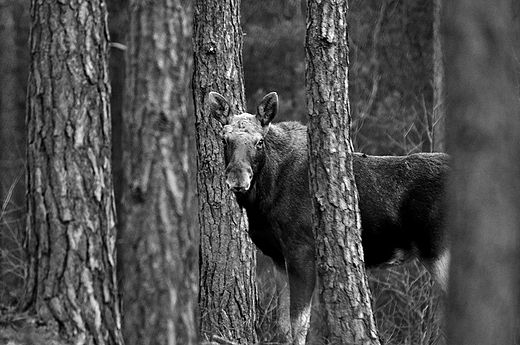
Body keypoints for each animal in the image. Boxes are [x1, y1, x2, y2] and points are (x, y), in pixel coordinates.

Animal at [207, 90, 446, 344]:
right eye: (224, 139)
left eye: (259, 141)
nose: (238, 179)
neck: (262, 201)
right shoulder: (278, 257)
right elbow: (283, 326)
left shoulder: (302, 251)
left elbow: (299, 325)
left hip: (438, 249)